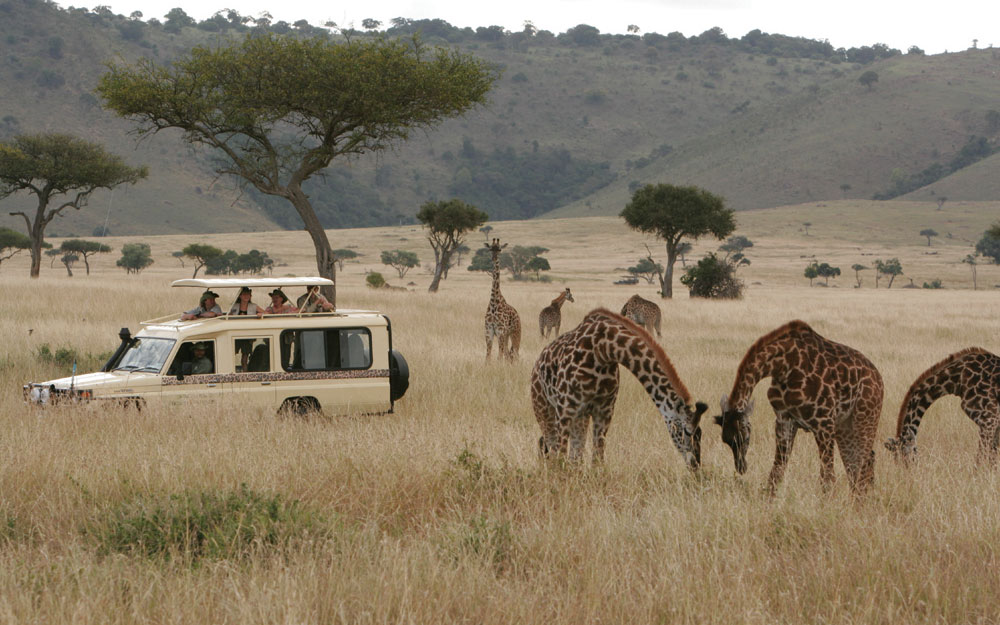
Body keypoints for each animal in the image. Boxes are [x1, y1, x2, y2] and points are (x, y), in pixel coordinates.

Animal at [530, 308, 707, 467]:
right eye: (687, 431)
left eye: (700, 433)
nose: (695, 465)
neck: (603, 350)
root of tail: (537, 363)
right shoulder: (565, 409)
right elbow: (560, 458)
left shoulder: (604, 410)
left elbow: (597, 460)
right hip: (544, 409)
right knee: (551, 448)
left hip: (580, 417)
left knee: (574, 456)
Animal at [713, 320, 883, 496]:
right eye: (726, 440)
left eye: (745, 438)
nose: (741, 467)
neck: (784, 366)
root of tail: (878, 377)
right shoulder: (784, 420)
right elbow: (776, 472)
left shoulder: (824, 422)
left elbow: (827, 478)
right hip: (844, 426)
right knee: (859, 464)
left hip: (864, 418)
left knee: (863, 464)